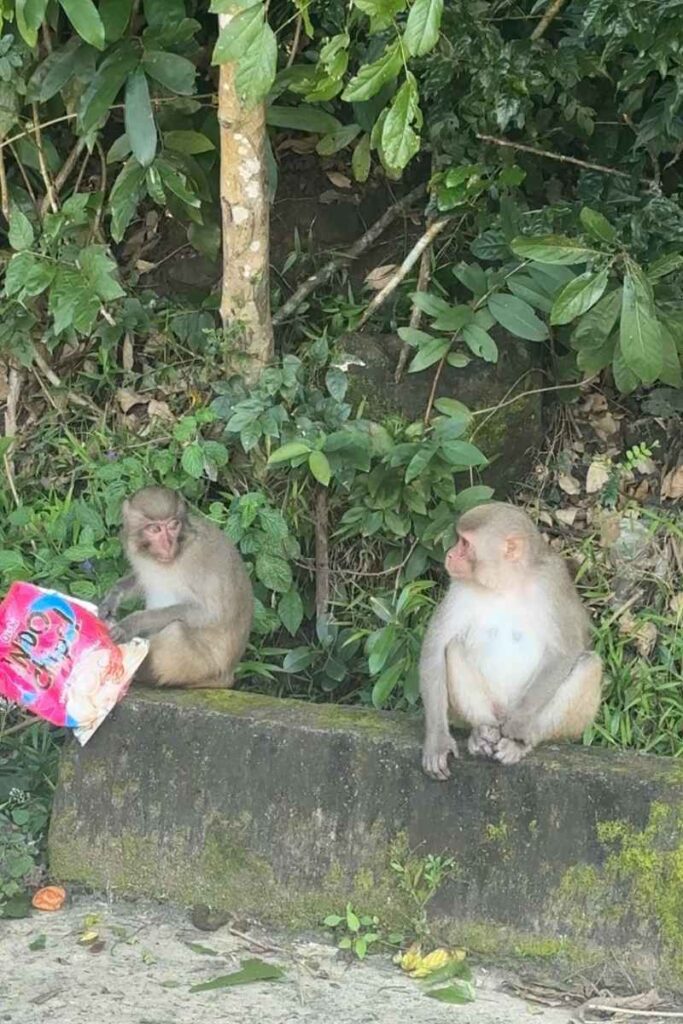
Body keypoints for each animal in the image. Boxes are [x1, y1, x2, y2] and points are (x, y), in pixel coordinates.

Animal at [98, 486, 253, 689]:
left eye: (173, 525)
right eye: (155, 529)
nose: (168, 544)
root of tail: (227, 677)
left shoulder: (198, 560)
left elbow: (209, 614)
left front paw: (133, 622)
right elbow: (141, 581)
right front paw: (112, 597)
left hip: (203, 669)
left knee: (176, 631)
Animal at [419, 501, 603, 778]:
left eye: (465, 543)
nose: (450, 555)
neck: (506, 584)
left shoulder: (552, 582)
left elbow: (566, 651)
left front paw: (517, 727)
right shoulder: (460, 586)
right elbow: (436, 646)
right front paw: (438, 741)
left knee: (589, 664)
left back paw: (521, 742)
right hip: (491, 709)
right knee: (453, 648)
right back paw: (482, 733)